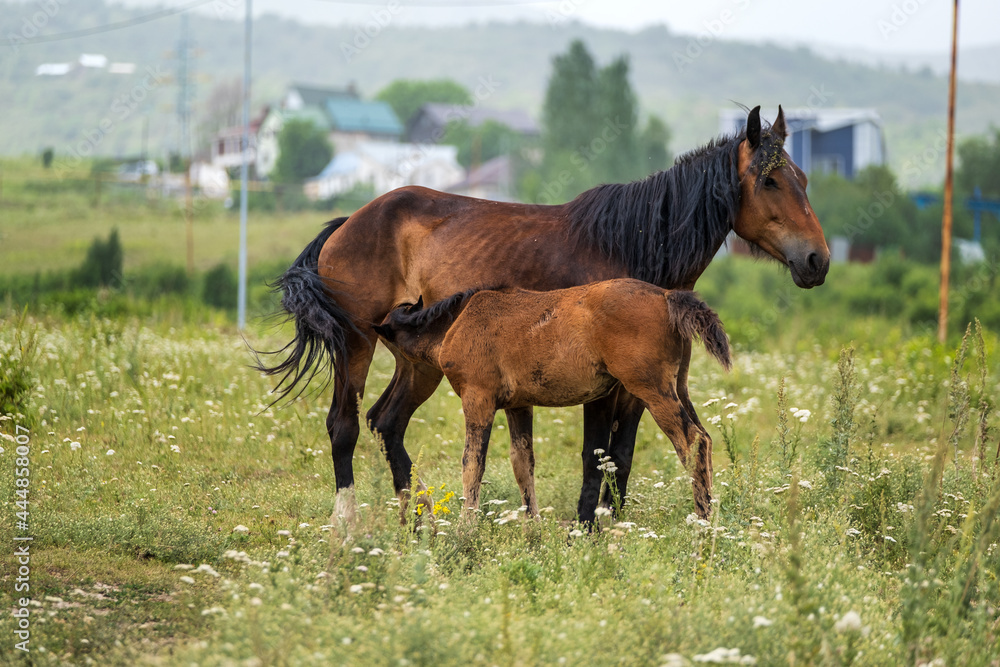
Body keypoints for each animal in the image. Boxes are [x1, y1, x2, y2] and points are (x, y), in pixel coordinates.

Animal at [372, 280, 732, 518]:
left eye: (391, 349)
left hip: (651, 389)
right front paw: (534, 531)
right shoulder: (518, 405)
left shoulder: (478, 399)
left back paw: (703, 522)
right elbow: (523, 464)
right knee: (706, 439)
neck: (459, 321)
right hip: (677, 387)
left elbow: (472, 465)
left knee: (693, 441)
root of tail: (666, 295)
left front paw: (466, 530)